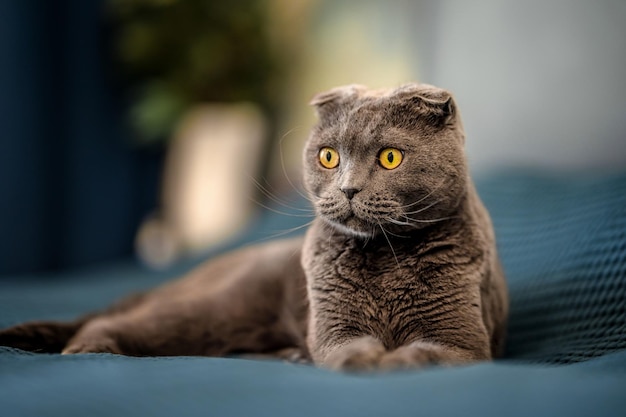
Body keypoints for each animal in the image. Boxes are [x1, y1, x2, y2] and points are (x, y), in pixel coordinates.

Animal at [0, 83, 508, 368]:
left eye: (389, 158)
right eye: (328, 156)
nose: (347, 189)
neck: (384, 256)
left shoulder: (461, 340)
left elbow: (427, 353)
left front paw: (392, 363)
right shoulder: (335, 326)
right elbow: (345, 347)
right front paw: (365, 361)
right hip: (219, 306)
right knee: (111, 320)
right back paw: (88, 349)